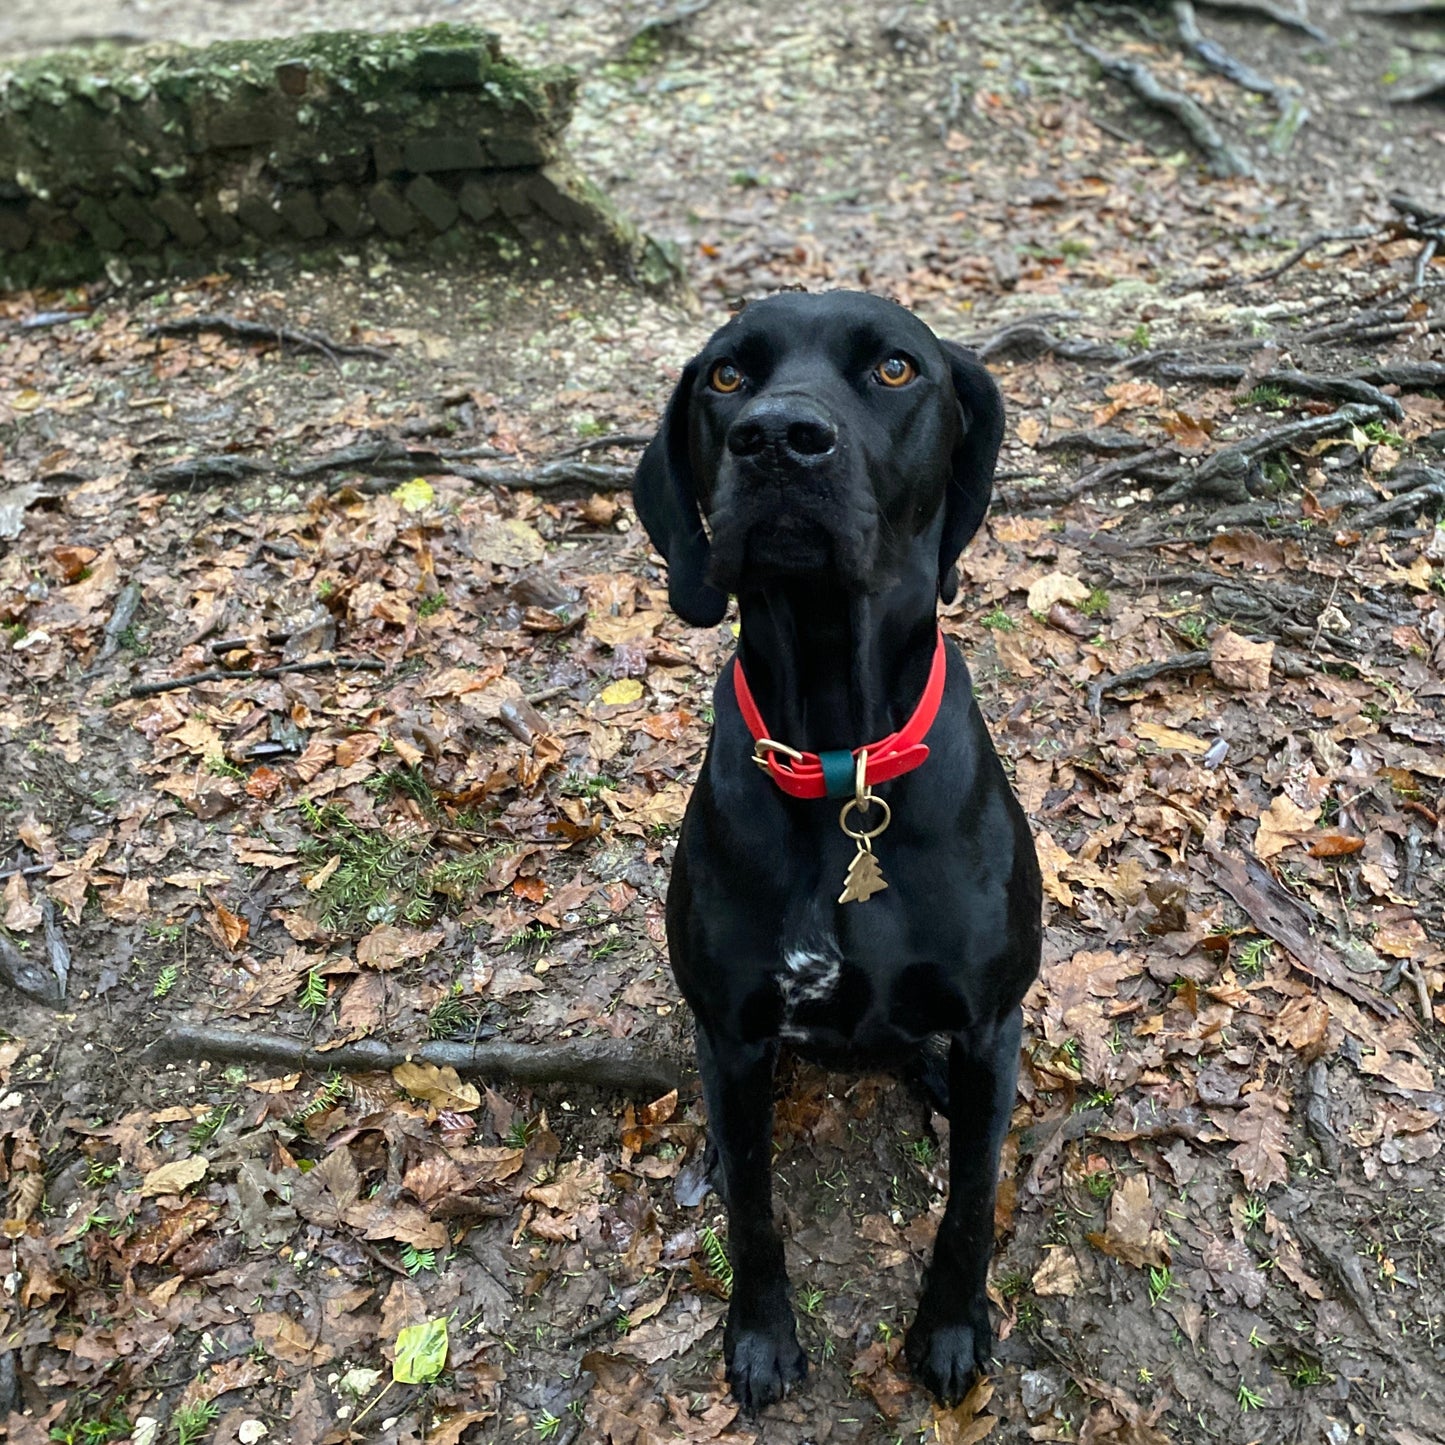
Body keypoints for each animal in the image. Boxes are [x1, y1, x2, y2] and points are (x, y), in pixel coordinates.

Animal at [632, 290, 1040, 1410]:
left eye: (895, 369)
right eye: (727, 376)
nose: (776, 437)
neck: (839, 755)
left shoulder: (991, 1019)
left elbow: (970, 1199)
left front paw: (949, 1327)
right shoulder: (733, 1033)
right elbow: (754, 1212)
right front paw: (761, 1335)